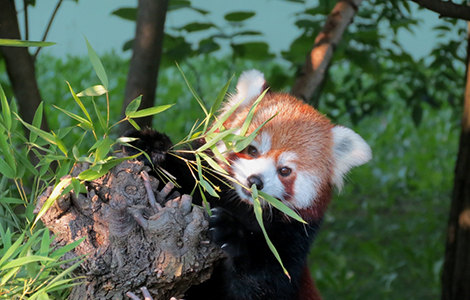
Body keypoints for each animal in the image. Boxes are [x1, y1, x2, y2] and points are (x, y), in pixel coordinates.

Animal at [122, 69, 370, 298]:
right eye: (252, 150)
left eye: (285, 171)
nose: (255, 181)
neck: (242, 206)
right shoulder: (199, 182)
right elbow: (176, 176)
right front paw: (150, 146)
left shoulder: (293, 239)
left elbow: (262, 281)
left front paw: (231, 231)